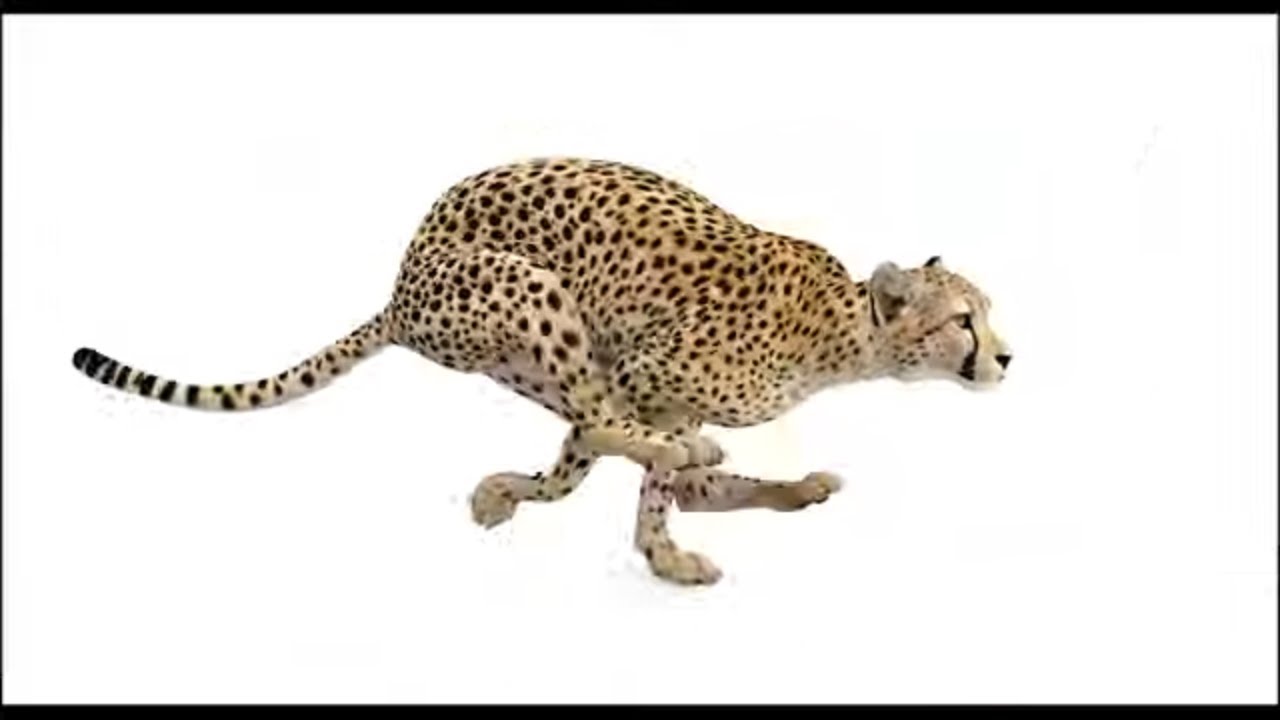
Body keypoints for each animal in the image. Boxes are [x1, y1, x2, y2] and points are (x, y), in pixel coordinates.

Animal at [71, 156, 1012, 586]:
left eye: (985, 312)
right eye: (962, 320)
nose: (1006, 355)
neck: (842, 337)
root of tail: (400, 284)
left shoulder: (653, 389)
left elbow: (646, 475)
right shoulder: (640, 373)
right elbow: (630, 462)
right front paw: (663, 555)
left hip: (523, 352)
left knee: (610, 438)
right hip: (531, 289)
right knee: (606, 429)